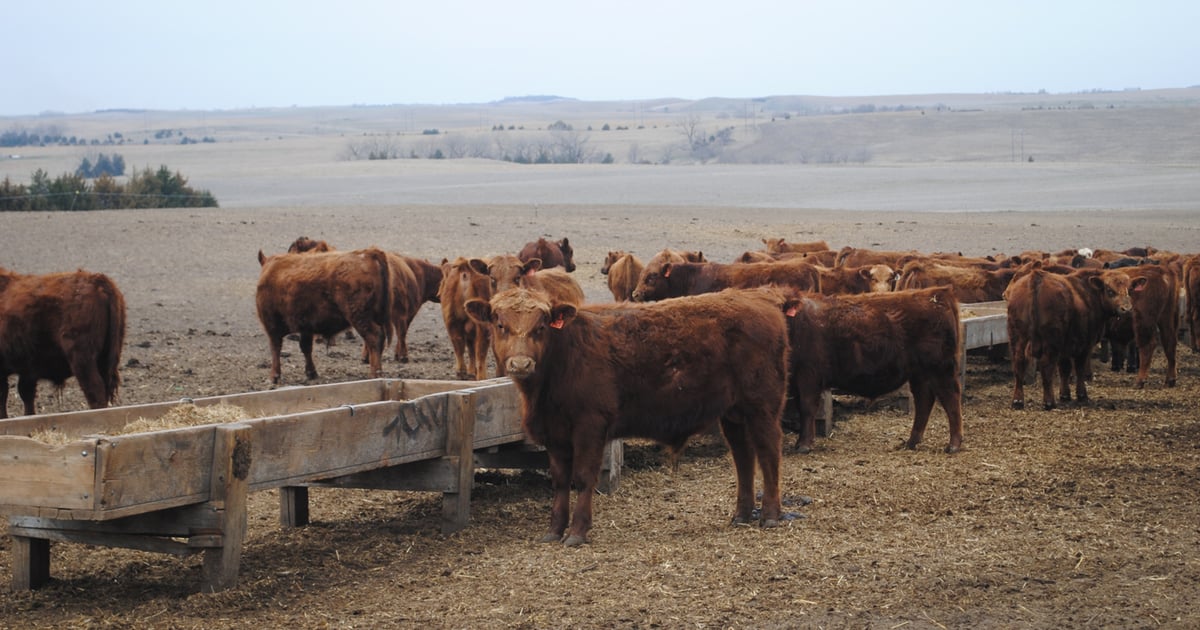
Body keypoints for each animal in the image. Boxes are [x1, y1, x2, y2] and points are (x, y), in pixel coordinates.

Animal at [0, 268, 126, 418]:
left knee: (95, 392)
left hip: (82, 360)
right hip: (105, 359)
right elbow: (26, 396)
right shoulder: (28, 370)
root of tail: (97, 280)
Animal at [256, 248, 392, 384]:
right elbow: (305, 347)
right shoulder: (306, 328)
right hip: (375, 318)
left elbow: (275, 347)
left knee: (374, 337)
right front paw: (311, 372)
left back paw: (375, 373)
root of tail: (367, 253)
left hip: (359, 318)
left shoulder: (271, 325)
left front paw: (274, 376)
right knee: (380, 339)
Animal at [466, 287, 790, 546]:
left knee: (768, 452)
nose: (521, 363)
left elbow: (583, 478)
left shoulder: (590, 426)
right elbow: (559, 481)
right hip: (733, 414)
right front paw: (554, 530)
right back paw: (742, 514)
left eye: (542, 325)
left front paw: (577, 532)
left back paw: (771, 514)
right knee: (743, 457)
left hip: (762, 406)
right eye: (500, 323)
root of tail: (759, 298)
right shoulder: (554, 434)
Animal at [780, 286, 964, 454]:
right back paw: (912, 442)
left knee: (951, 399)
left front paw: (804, 445)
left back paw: (954, 444)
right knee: (924, 401)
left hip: (941, 370)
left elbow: (806, 407)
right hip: (920, 374)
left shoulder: (808, 375)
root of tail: (937, 293)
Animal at [1004, 264, 1135, 410]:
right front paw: (1081, 395)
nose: (1127, 309)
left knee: (1019, 364)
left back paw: (1018, 401)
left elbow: (1064, 369)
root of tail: (1035, 277)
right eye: (1110, 291)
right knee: (1046, 366)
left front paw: (1065, 394)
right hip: (1051, 341)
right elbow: (1079, 368)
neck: (1088, 293)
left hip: (1018, 337)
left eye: (1129, 290)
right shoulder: (1084, 345)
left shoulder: (1065, 347)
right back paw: (1049, 402)